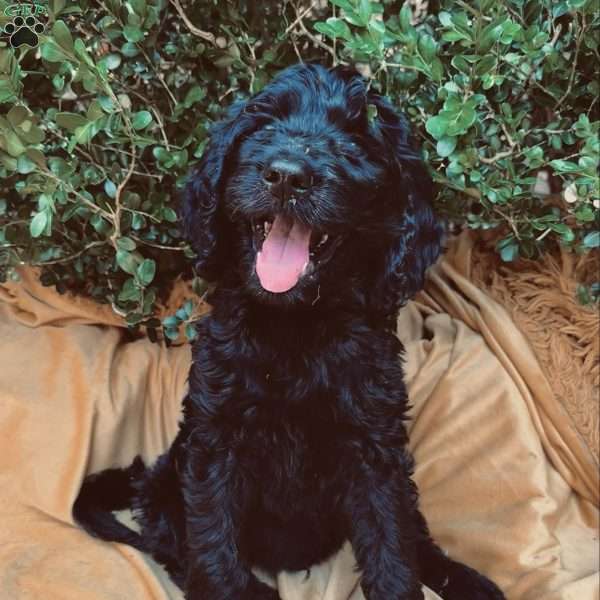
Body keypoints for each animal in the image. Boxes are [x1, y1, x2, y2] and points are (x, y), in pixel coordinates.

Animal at [75, 63, 506, 596]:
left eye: (355, 142)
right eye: (263, 126)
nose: (286, 176)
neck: (295, 324)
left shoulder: (374, 445)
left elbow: (392, 540)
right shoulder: (215, 441)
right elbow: (213, 546)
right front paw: (228, 588)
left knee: (414, 528)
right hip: (166, 488)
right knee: (176, 549)